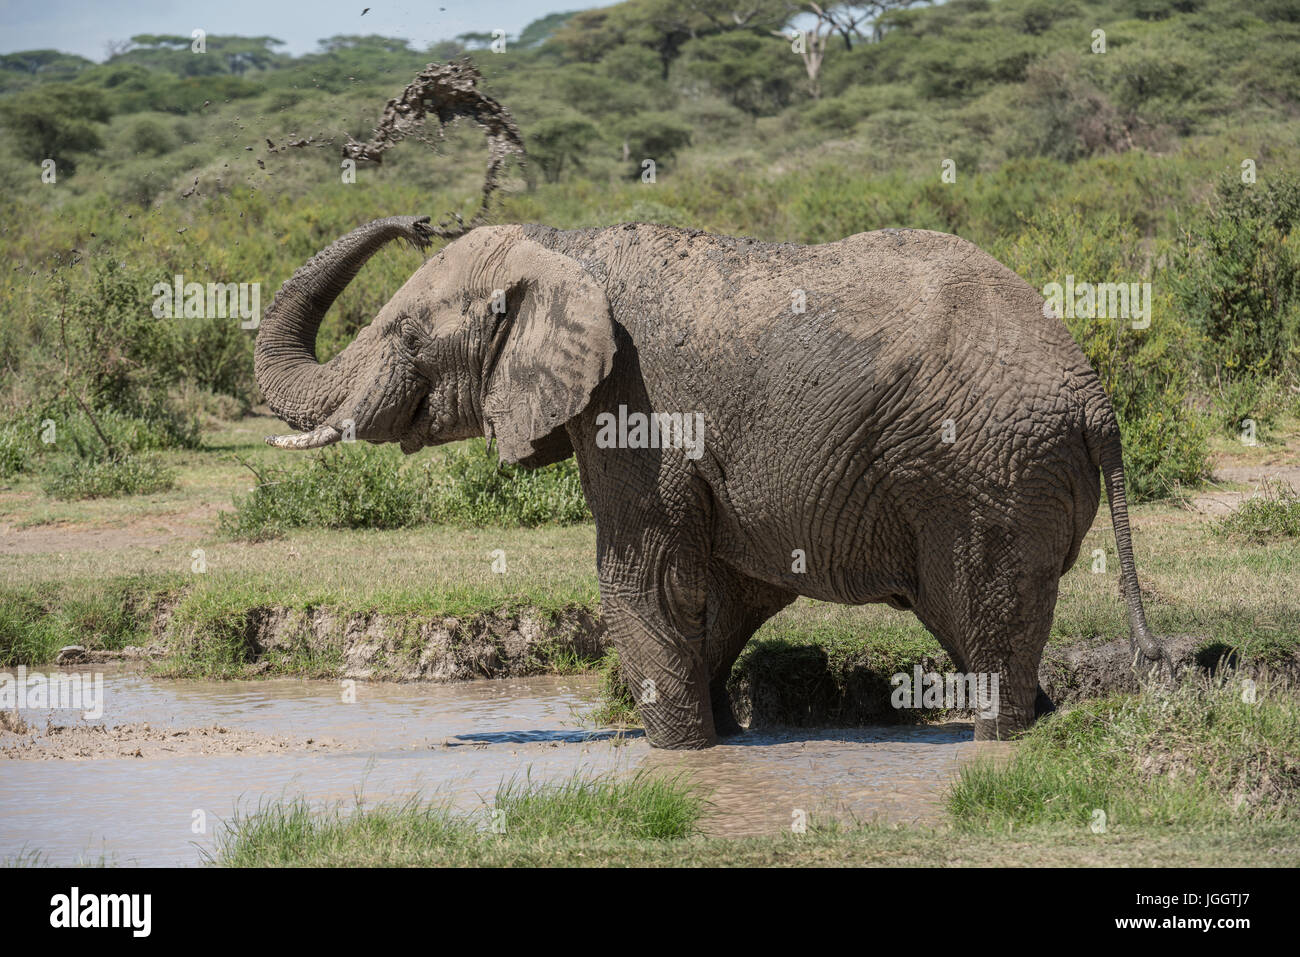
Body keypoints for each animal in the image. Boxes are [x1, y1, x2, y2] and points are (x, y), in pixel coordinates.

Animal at [253, 214, 1170, 748]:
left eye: (407, 336)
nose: (416, 218)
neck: (563, 244)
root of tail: (1096, 398)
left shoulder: (636, 406)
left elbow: (642, 578)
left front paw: (679, 753)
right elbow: (727, 588)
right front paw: (724, 734)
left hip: (990, 475)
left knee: (984, 619)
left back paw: (998, 741)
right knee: (971, 619)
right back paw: (1042, 723)